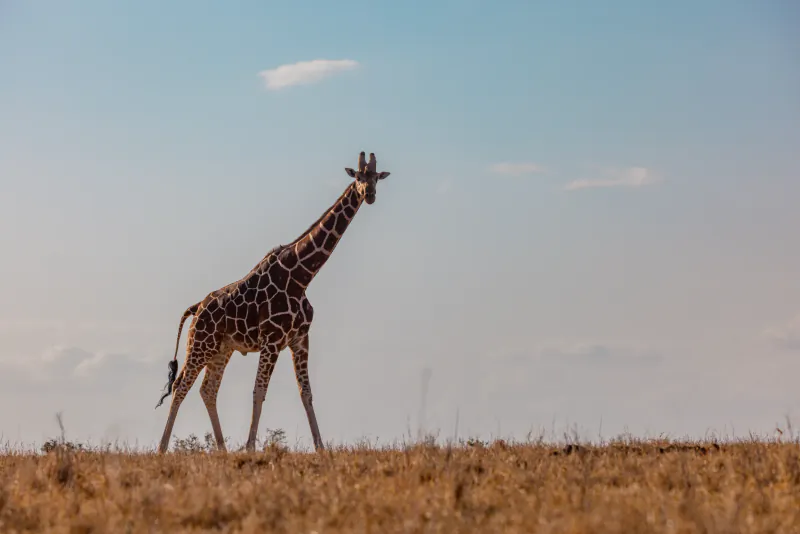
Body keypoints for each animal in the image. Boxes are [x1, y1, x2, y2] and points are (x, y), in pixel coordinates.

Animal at [154, 151, 391, 454]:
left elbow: (306, 393)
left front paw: (320, 447)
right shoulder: (272, 340)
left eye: (375, 178)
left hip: (221, 349)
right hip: (200, 343)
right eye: (358, 177)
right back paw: (162, 449)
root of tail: (196, 307)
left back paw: (222, 450)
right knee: (181, 385)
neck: (302, 276)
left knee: (207, 389)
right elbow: (259, 391)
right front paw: (250, 447)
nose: (369, 195)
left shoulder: (299, 339)